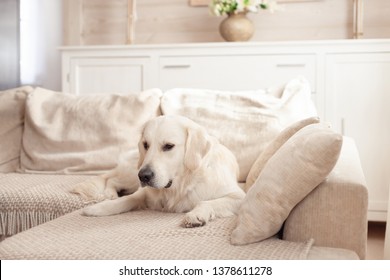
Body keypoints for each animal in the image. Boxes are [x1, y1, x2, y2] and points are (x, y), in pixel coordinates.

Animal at [79, 116, 245, 228]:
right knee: (112, 179)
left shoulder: (238, 197)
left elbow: (206, 202)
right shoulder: (145, 191)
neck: (182, 184)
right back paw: (110, 194)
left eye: (168, 146)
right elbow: (129, 198)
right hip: (133, 172)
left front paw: (196, 214)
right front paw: (100, 208)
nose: (144, 176)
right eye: (146, 144)